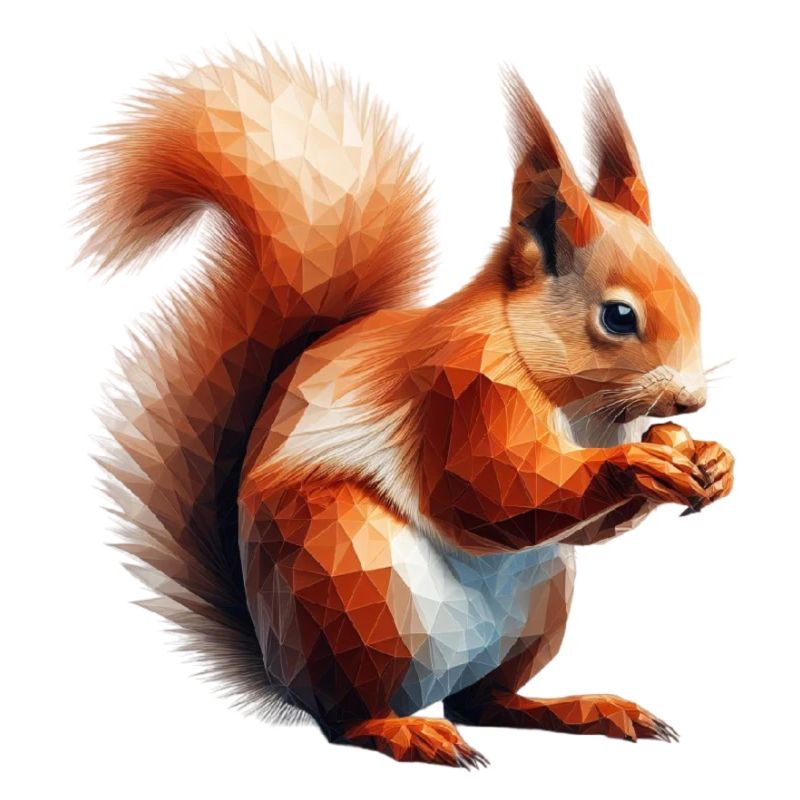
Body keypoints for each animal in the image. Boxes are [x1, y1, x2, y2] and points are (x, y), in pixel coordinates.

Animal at [81, 48, 734, 767]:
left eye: (695, 298)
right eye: (618, 316)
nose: (693, 401)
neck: (576, 398)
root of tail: (278, 666)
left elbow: (579, 528)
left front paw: (710, 459)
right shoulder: (460, 386)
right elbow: (491, 491)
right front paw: (641, 464)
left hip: (540, 603)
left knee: (482, 702)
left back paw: (581, 708)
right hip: (348, 576)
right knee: (348, 717)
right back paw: (404, 730)